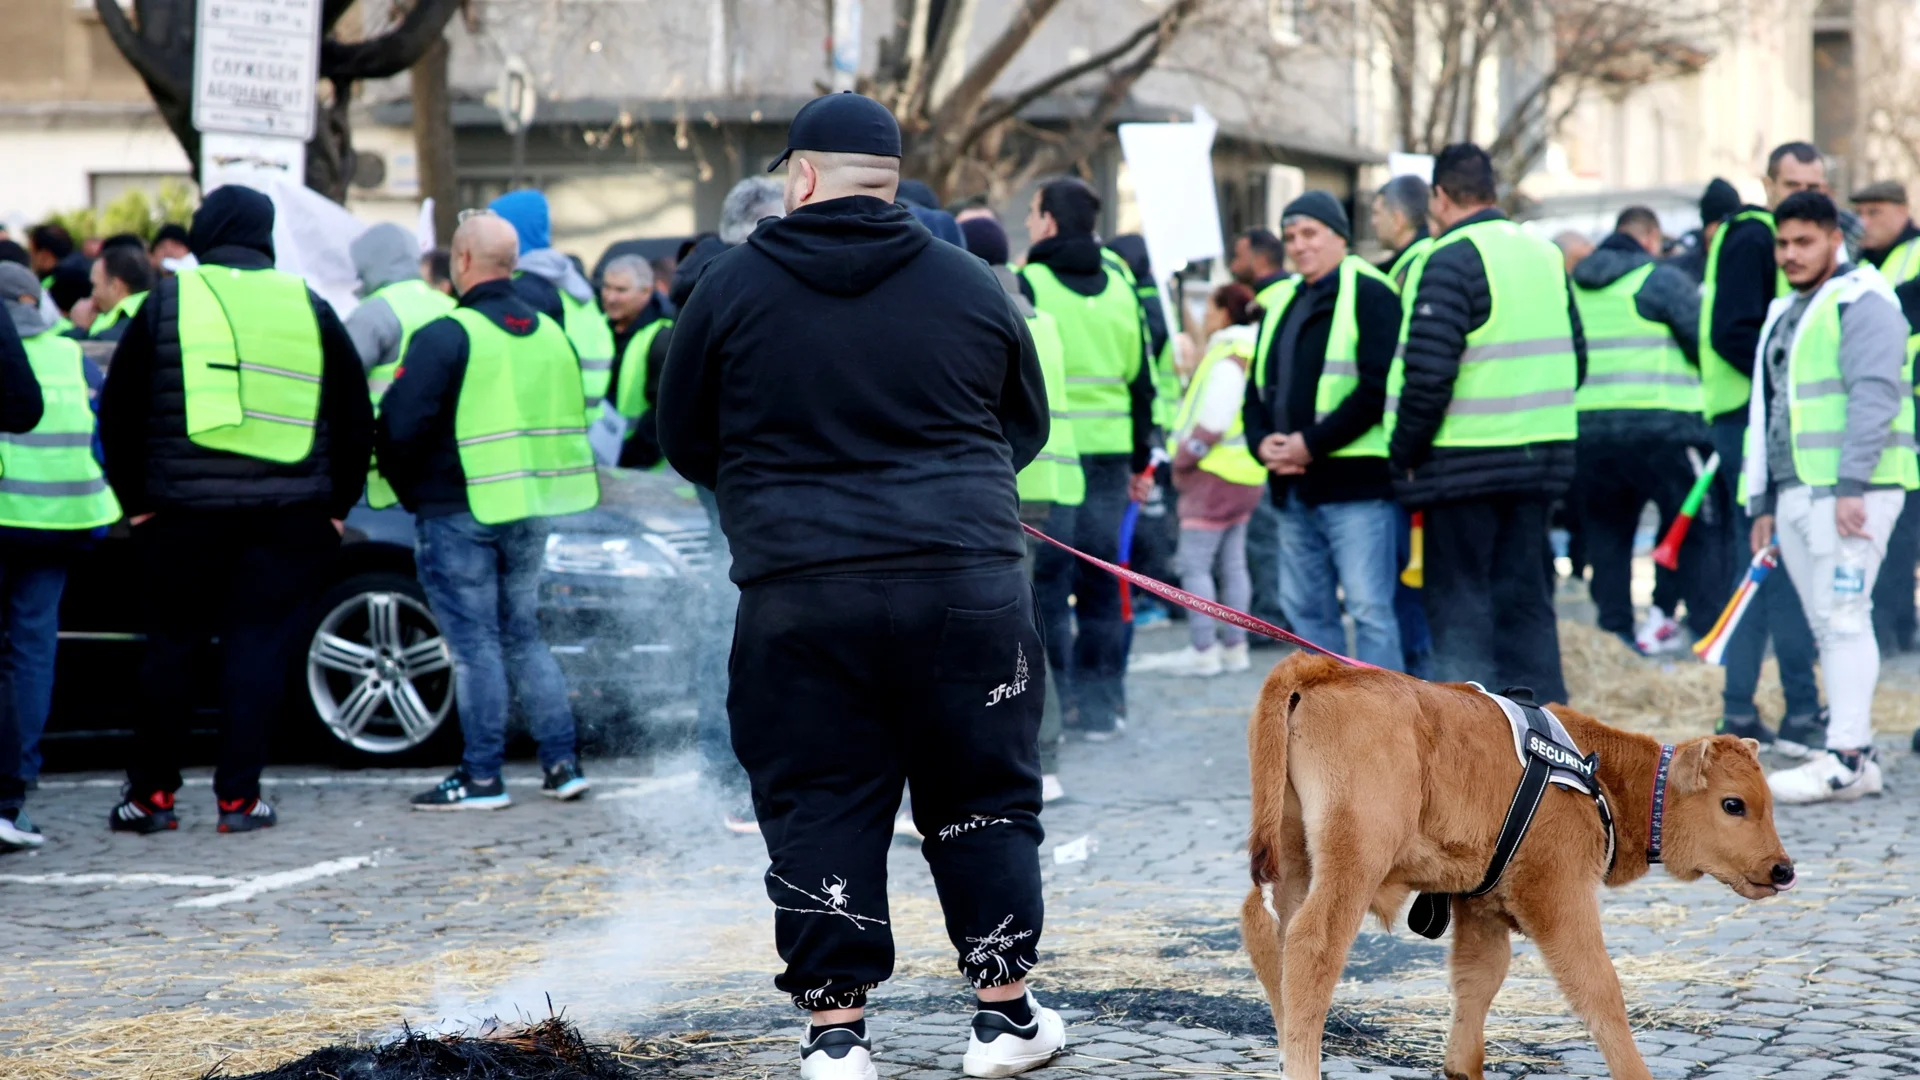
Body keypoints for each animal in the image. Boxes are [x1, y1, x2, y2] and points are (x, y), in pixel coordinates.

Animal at [1236, 645, 1789, 1076]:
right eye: (1734, 804)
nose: (1783, 869)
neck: (1597, 775)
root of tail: (1322, 668)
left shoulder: (1481, 907)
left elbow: (1479, 978)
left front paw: (1461, 1066)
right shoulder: (1556, 893)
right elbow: (1598, 987)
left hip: (1292, 855)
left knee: (1269, 933)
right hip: (1353, 859)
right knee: (1313, 943)